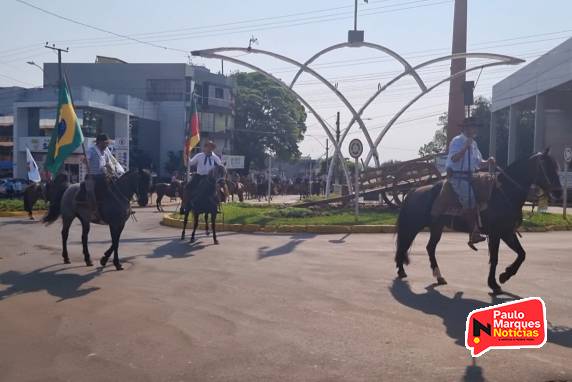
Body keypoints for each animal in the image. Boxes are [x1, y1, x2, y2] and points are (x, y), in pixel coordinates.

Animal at [396, 151, 560, 294]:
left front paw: (505, 275)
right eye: (546, 166)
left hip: (436, 227)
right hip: (412, 226)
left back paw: (438, 276)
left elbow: (522, 254)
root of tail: (413, 190)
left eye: (556, 166)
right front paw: (494, 283)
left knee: (429, 247)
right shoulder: (496, 234)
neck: (504, 193)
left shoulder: (507, 232)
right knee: (403, 245)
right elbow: (494, 258)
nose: (558, 192)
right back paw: (401, 271)